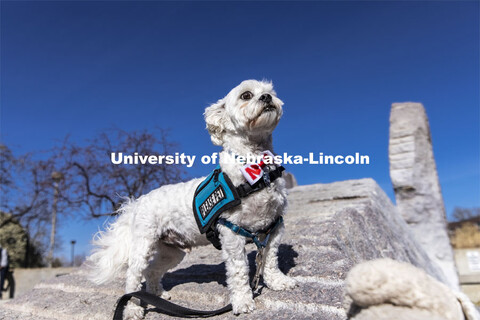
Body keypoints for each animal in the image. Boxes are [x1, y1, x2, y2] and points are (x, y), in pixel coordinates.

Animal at [87, 79, 296, 318]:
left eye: (270, 92)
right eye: (246, 95)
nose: (267, 98)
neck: (258, 169)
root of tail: (137, 203)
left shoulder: (274, 227)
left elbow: (270, 260)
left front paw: (278, 282)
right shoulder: (231, 232)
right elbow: (238, 270)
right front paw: (243, 301)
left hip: (172, 252)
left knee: (152, 270)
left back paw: (157, 294)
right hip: (143, 244)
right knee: (133, 277)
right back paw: (133, 310)